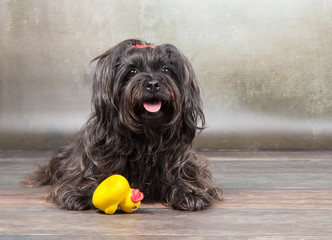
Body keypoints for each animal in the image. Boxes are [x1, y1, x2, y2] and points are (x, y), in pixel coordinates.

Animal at [25, 38, 223, 211]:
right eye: (132, 72)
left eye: (166, 70)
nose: (153, 84)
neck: (146, 136)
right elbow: (83, 178)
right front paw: (79, 193)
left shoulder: (182, 163)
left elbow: (186, 178)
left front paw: (190, 192)